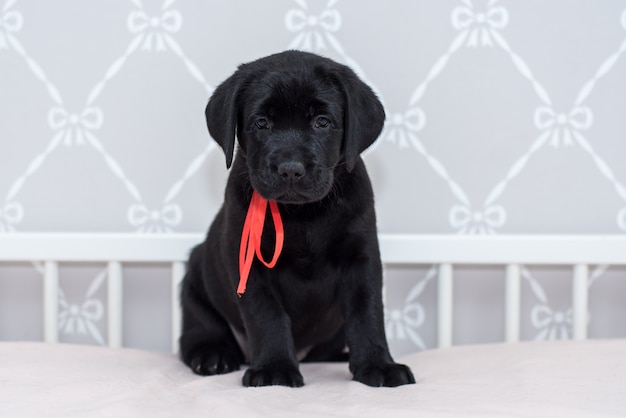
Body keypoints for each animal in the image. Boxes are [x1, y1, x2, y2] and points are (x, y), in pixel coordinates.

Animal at [179, 49, 414, 388]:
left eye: (322, 122)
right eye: (261, 123)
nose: (290, 169)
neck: (303, 215)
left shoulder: (361, 257)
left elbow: (366, 311)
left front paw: (378, 364)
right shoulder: (248, 261)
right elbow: (267, 315)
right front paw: (275, 367)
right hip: (195, 277)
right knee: (197, 330)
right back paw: (213, 355)